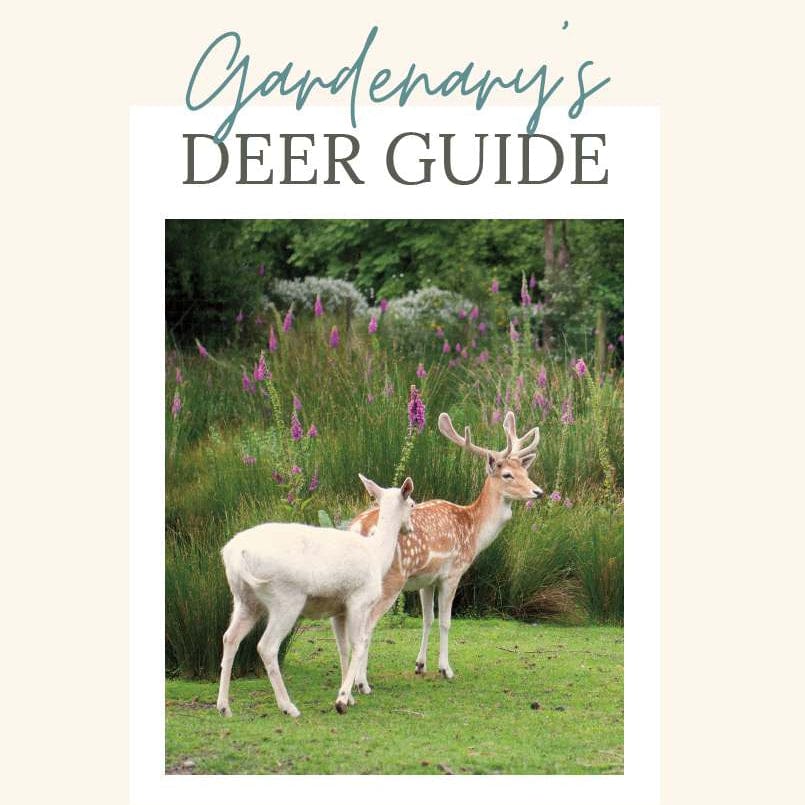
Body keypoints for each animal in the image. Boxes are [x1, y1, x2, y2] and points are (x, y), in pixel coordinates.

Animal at [216, 474, 415, 718]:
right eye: (413, 504)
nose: (410, 529)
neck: (378, 556)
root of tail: (235, 554)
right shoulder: (359, 600)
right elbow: (359, 645)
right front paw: (341, 701)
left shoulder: (338, 610)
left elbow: (343, 649)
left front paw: (349, 698)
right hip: (285, 599)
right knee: (266, 646)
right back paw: (288, 707)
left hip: (245, 600)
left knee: (229, 638)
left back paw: (224, 707)